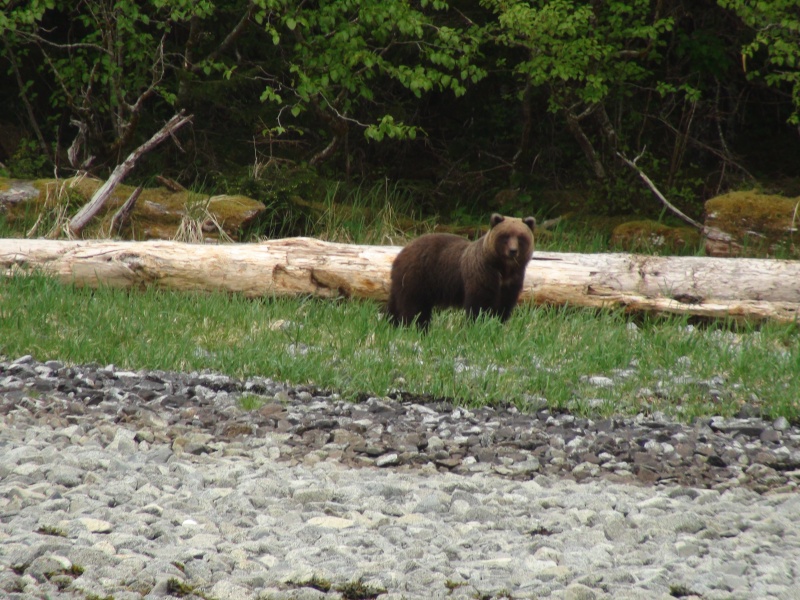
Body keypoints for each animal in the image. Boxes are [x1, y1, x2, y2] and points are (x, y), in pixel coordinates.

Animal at [387, 213, 536, 329]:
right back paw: (414, 327)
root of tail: (401, 253)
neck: (503, 269)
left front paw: (498, 324)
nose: (513, 251)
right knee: (413, 307)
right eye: (505, 236)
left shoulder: (512, 282)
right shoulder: (482, 275)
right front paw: (477, 325)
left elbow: (503, 307)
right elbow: (479, 306)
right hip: (417, 277)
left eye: (521, 237)